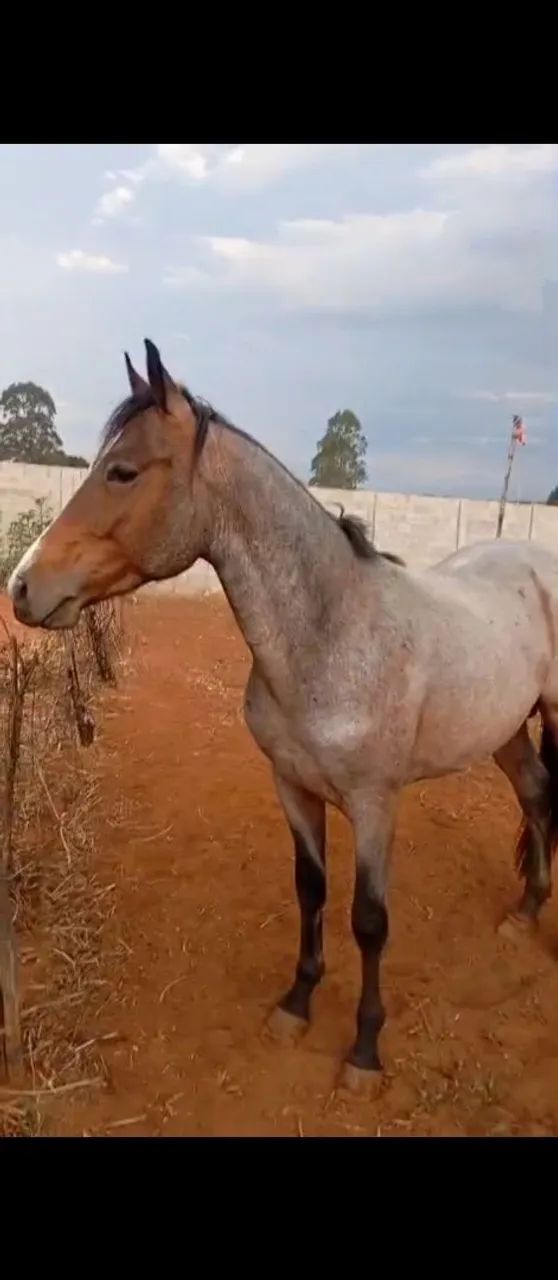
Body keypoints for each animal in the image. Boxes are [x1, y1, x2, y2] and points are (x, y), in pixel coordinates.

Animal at [8, 340, 558, 1094]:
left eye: (122, 471)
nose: (22, 586)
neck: (332, 633)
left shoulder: (376, 805)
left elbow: (369, 920)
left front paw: (364, 1050)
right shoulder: (293, 787)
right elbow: (310, 891)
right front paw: (297, 1004)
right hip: (505, 729)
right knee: (535, 795)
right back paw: (525, 914)